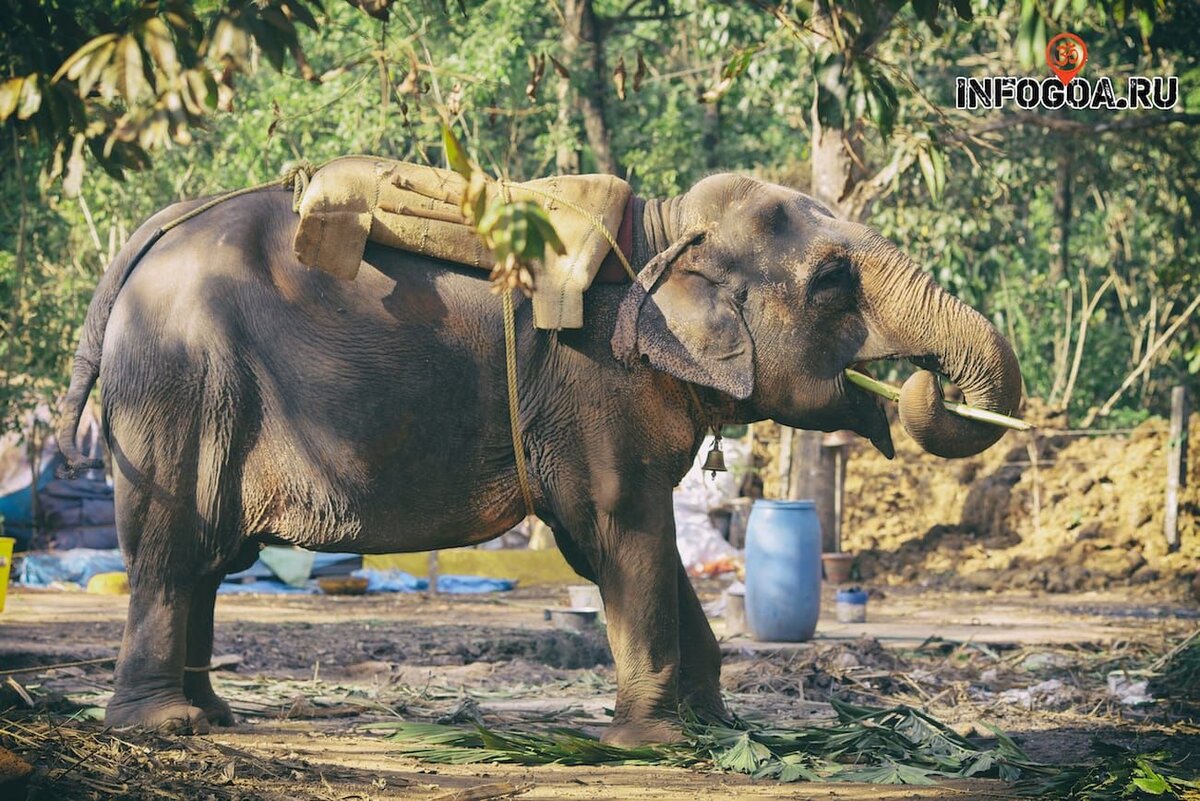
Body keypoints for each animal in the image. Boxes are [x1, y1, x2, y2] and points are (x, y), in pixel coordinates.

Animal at [58, 172, 1022, 748]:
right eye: (831, 283)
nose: (921, 381)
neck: (662, 234)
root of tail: (148, 236)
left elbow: (643, 546)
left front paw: (713, 725)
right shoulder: (598, 383)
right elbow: (617, 533)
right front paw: (656, 743)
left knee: (204, 560)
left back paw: (211, 715)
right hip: (181, 385)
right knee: (171, 550)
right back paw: (163, 727)